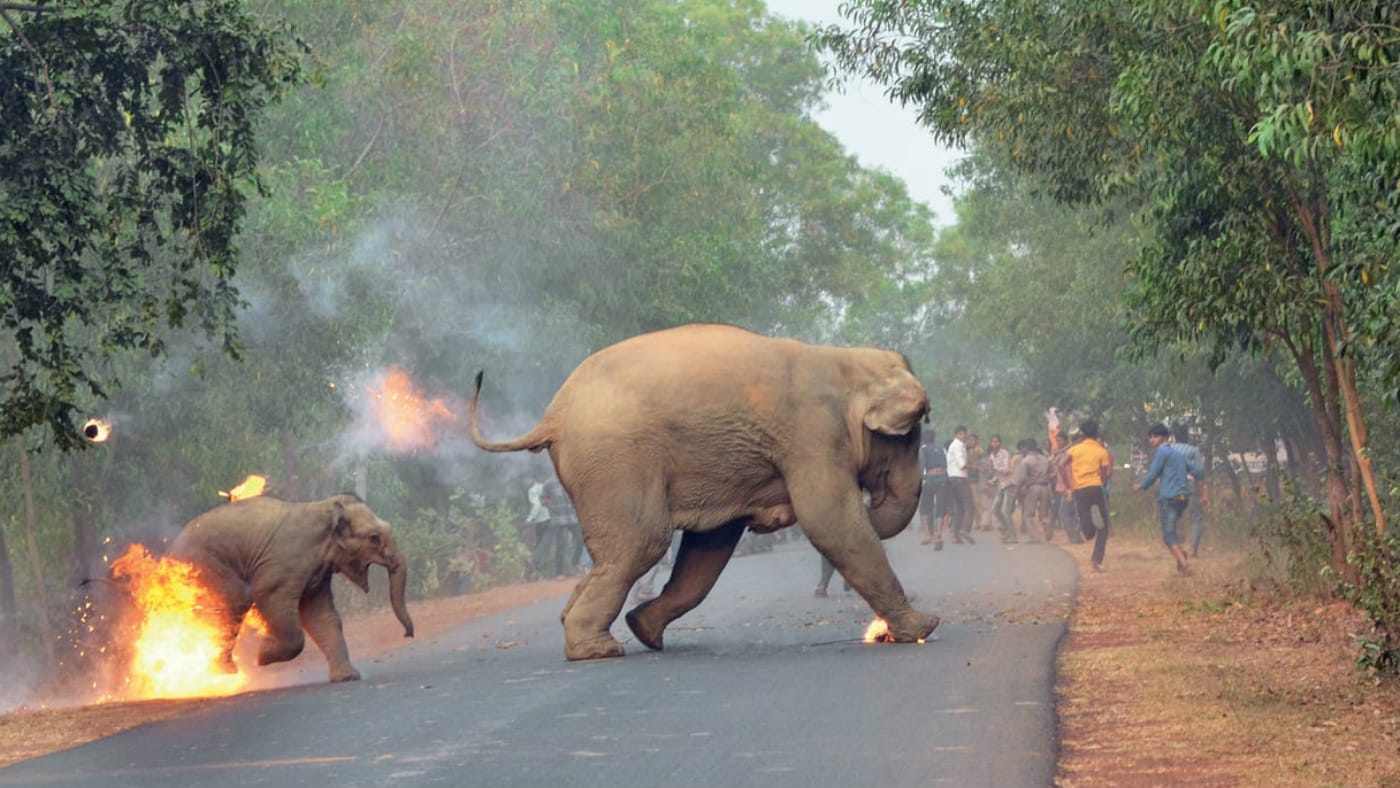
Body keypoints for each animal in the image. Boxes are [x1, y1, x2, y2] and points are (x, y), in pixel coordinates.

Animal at [165, 493, 414, 682]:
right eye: (374, 538)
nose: (407, 634)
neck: (325, 507)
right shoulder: (283, 564)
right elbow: (270, 599)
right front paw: (262, 655)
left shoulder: (318, 574)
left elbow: (321, 615)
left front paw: (348, 678)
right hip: (204, 566)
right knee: (235, 601)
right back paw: (224, 672)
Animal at [468, 323, 939, 660]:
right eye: (910, 436)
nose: (873, 500)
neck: (845, 360)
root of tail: (553, 414)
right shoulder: (813, 435)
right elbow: (831, 521)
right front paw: (924, 627)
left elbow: (710, 547)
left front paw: (644, 627)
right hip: (616, 460)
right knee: (643, 542)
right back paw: (596, 651)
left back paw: (603, 629)